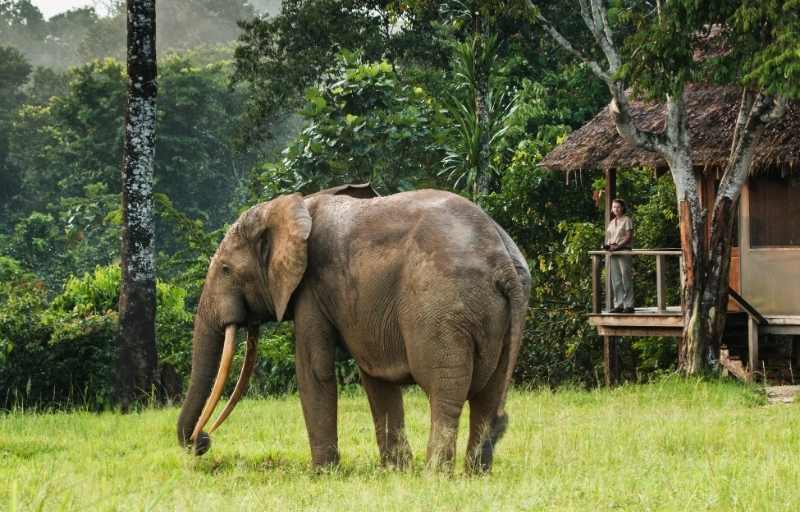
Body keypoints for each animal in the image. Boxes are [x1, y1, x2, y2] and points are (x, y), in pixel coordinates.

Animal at [177, 184, 532, 472]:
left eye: (225, 270)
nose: (201, 441)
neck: (295, 205)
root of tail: (502, 262)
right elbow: (375, 377)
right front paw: (395, 472)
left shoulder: (311, 287)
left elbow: (314, 369)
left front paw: (323, 474)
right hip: (499, 315)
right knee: (488, 397)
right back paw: (475, 475)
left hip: (441, 308)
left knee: (444, 392)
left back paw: (435, 476)